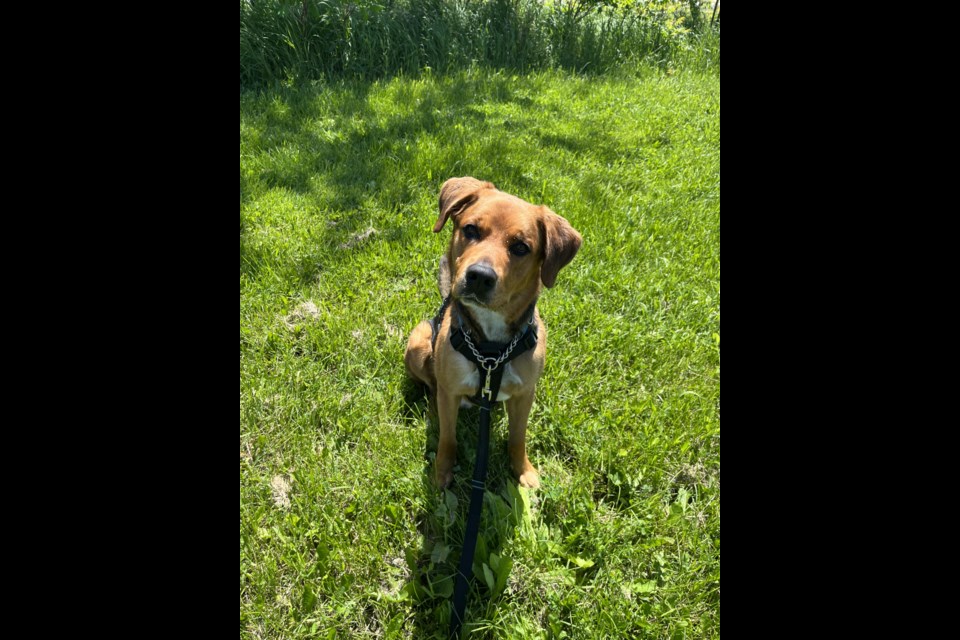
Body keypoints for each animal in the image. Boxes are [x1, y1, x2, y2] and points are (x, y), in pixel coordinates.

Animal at [404, 178, 580, 488]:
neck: (490, 351)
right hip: (418, 342)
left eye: (521, 247)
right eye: (471, 230)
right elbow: (448, 438)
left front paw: (523, 470)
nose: (479, 276)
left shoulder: (525, 394)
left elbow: (518, 438)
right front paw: (442, 471)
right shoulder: (451, 393)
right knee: (433, 384)